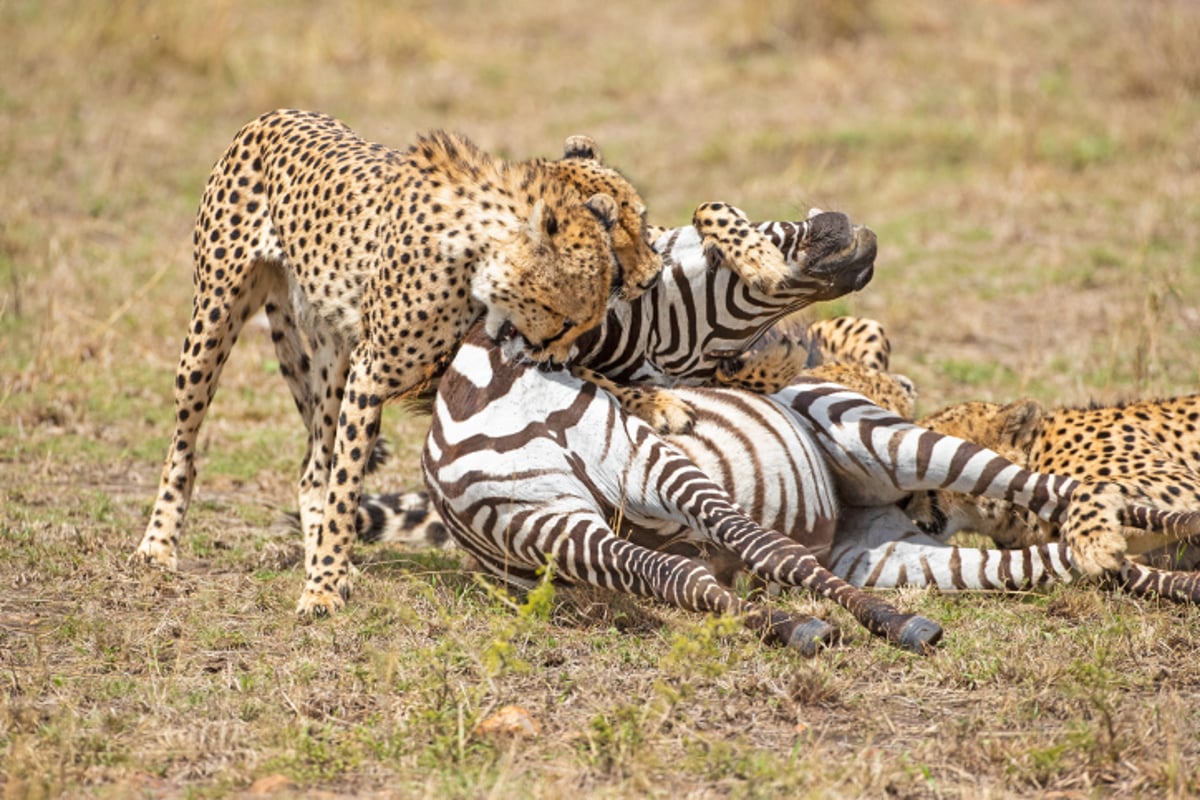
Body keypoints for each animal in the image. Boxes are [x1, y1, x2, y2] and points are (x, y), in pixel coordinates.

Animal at [136, 109, 662, 618]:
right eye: (571, 317)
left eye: (643, 224)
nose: (654, 276)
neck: (479, 256)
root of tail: (269, 116)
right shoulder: (371, 376)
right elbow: (346, 485)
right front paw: (321, 590)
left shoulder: (444, 363)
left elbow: (589, 378)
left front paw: (657, 405)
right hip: (214, 320)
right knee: (185, 445)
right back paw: (159, 544)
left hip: (332, 358)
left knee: (311, 468)